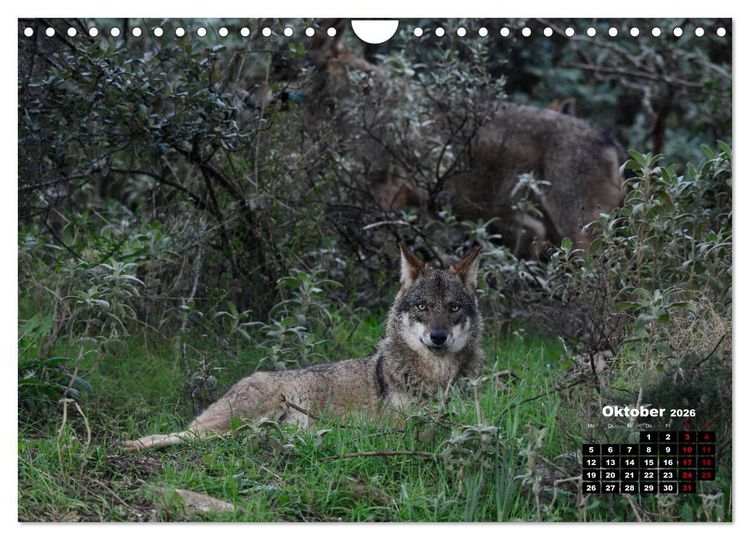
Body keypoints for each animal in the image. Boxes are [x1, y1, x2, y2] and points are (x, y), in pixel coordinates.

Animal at [123, 245, 484, 451]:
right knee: (174, 435)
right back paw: (127, 445)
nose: (438, 337)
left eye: (453, 308)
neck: (436, 377)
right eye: (423, 306)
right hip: (233, 423)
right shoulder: (395, 425)